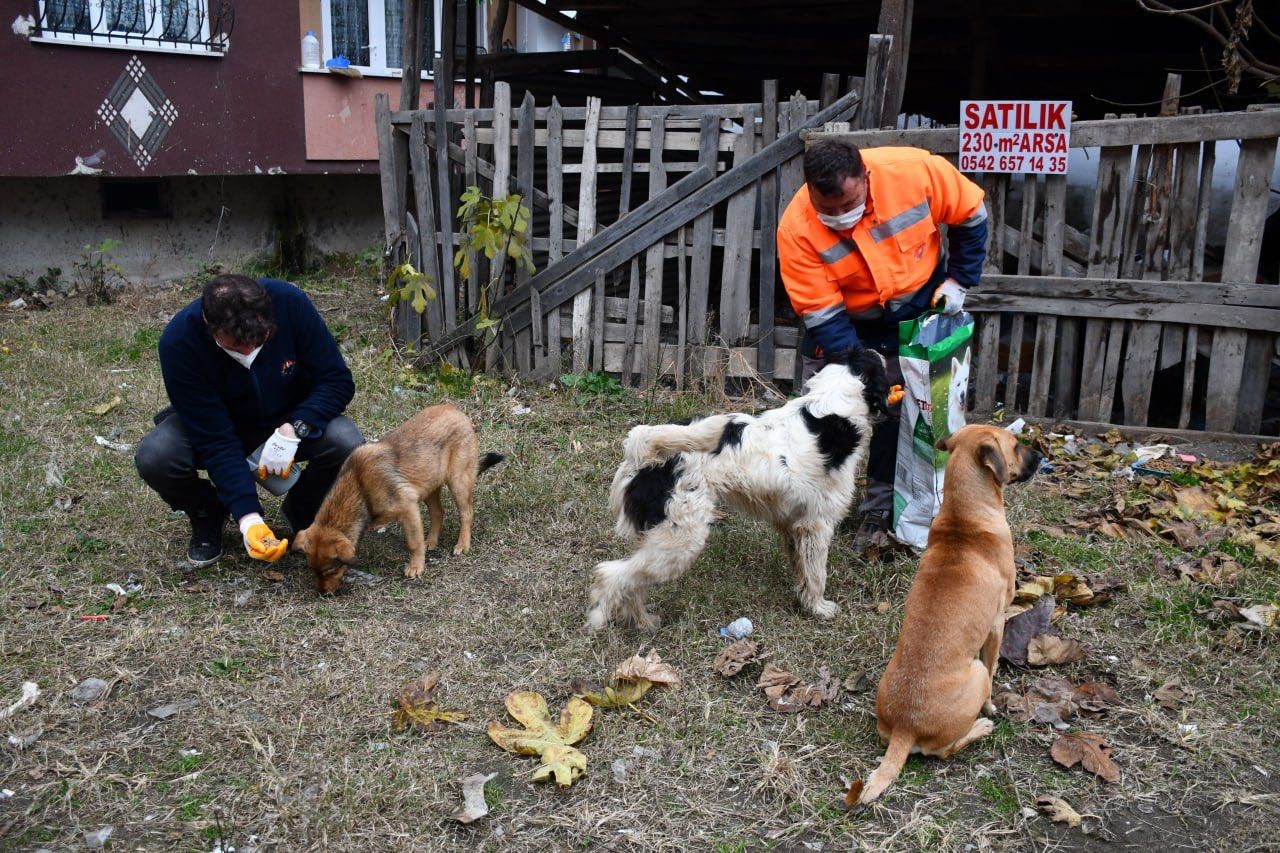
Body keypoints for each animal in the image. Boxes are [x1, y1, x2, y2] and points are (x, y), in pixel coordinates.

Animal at [294, 404, 504, 591]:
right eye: (313, 571)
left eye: (331, 570)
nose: (322, 593)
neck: (359, 487)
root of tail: (461, 414)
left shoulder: (408, 508)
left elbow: (413, 543)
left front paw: (416, 567)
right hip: (428, 484)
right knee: (438, 512)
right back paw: (431, 542)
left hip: (458, 481)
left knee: (466, 513)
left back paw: (462, 544)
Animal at [586, 348, 885, 630]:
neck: (830, 408)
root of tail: (644, 454)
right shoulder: (817, 525)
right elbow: (816, 575)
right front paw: (818, 608)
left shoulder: (793, 524)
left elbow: (801, 567)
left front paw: (803, 598)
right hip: (680, 541)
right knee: (610, 574)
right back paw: (600, 619)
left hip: (657, 538)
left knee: (632, 581)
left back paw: (642, 622)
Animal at [849, 425, 1039, 804]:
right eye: (1015, 446)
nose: (1040, 455)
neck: (963, 519)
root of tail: (906, 728)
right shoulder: (996, 624)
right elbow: (994, 665)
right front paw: (991, 708)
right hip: (975, 675)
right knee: (946, 749)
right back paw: (981, 726)